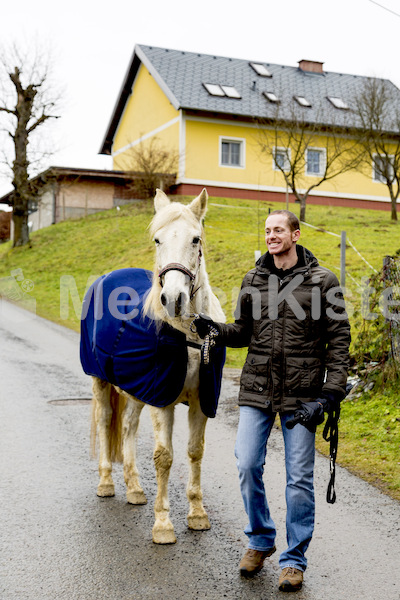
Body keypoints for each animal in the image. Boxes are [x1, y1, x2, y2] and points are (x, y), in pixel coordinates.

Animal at [90, 190, 225, 548]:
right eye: (157, 239)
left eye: (196, 239)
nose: (173, 298)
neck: (190, 334)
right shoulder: (163, 400)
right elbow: (164, 457)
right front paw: (163, 524)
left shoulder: (200, 401)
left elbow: (195, 452)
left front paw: (197, 514)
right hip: (100, 382)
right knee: (106, 421)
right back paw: (107, 482)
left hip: (137, 391)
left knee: (127, 428)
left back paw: (135, 488)